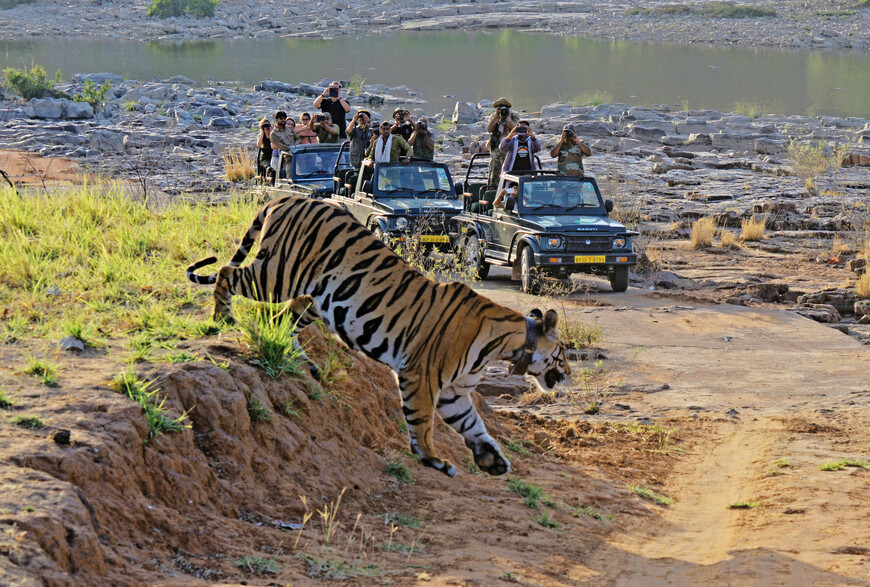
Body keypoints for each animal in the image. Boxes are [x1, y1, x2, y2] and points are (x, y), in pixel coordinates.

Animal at [188, 195, 572, 476]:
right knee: (228, 273)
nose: (568, 375)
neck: (505, 345)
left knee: (280, 320)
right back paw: (223, 318)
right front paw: (432, 459)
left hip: (312, 299)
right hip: (275, 274)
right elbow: (423, 422)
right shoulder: (421, 376)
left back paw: (304, 363)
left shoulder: (453, 392)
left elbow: (472, 425)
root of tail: (285, 198)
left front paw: (491, 459)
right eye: (563, 355)